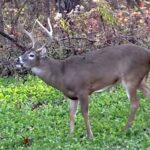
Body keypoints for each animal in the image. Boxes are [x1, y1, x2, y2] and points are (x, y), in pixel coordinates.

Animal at [15, 17, 150, 138]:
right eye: (24, 52)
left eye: (31, 55)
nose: (17, 60)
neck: (61, 73)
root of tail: (147, 54)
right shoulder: (72, 96)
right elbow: (71, 114)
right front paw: (70, 136)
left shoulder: (83, 89)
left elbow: (84, 112)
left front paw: (90, 136)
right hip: (140, 79)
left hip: (131, 77)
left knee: (134, 103)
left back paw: (125, 130)